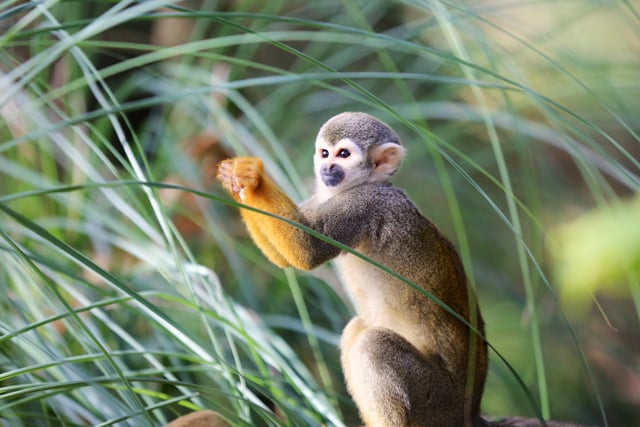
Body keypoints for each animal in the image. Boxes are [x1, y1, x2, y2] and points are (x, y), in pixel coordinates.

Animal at [218, 112, 488, 426]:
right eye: (324, 153)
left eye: (343, 155)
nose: (327, 168)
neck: (364, 184)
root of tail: (472, 411)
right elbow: (285, 257)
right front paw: (235, 180)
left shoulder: (365, 204)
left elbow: (307, 250)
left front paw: (253, 178)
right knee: (357, 330)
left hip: (439, 403)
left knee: (373, 342)